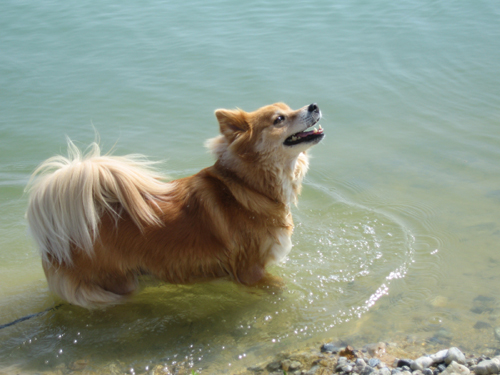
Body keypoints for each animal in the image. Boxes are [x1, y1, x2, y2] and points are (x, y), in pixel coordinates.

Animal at [26, 102, 324, 308]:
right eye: (279, 119)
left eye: (289, 108)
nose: (314, 105)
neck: (250, 185)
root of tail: (55, 239)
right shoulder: (250, 270)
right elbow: (279, 288)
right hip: (116, 282)